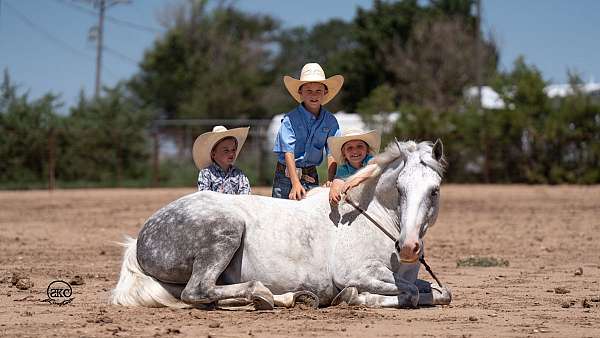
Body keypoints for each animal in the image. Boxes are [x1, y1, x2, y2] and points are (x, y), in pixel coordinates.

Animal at [110, 139, 452, 308]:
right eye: (400, 189)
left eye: (434, 190)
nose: (408, 248)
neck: (374, 218)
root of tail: (141, 237)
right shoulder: (356, 273)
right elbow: (409, 292)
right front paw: (355, 297)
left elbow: (437, 290)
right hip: (226, 233)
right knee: (198, 291)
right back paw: (259, 293)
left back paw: (279, 298)